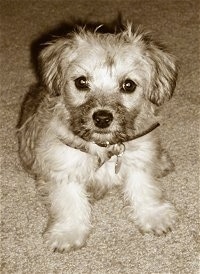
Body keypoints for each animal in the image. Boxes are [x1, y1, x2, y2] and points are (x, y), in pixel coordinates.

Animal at [17, 23, 178, 253]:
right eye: (81, 82)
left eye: (128, 85)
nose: (102, 118)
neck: (104, 146)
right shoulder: (64, 169)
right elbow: (69, 203)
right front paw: (69, 232)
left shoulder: (138, 159)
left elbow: (145, 190)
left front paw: (153, 215)